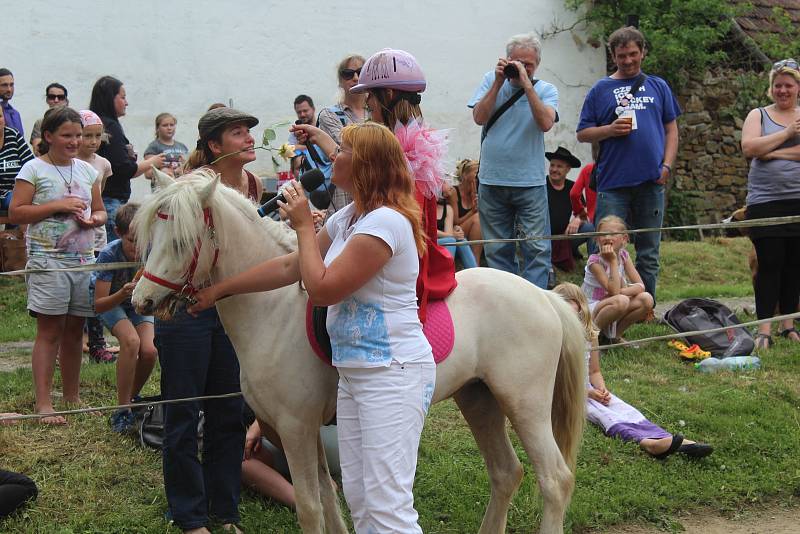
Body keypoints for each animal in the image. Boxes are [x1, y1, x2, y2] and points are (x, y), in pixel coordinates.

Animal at [133, 169, 588, 534]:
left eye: (181, 241)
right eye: (152, 237)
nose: (142, 301)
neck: (273, 309)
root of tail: (547, 298)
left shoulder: (296, 428)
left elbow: (310, 508)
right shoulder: (293, 429)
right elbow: (330, 500)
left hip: (524, 403)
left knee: (555, 479)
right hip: (479, 398)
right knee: (506, 473)